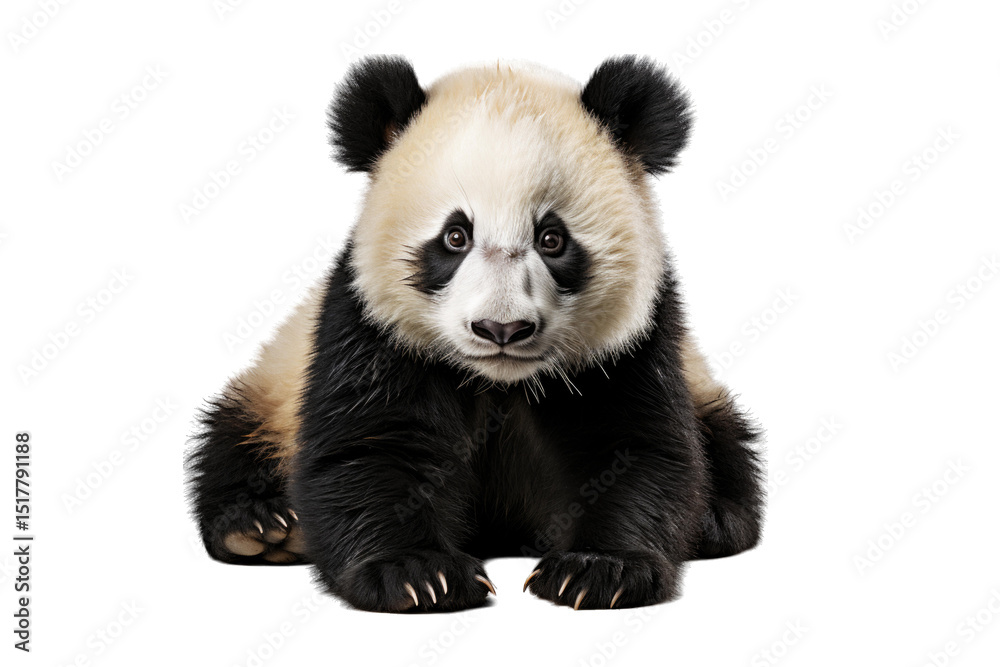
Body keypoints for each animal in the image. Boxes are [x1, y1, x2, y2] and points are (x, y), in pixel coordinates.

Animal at [186, 55, 764, 613]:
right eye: (455, 237)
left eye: (552, 239)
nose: (501, 328)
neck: (499, 381)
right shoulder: (367, 329)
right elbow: (370, 447)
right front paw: (417, 574)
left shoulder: (636, 341)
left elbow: (637, 447)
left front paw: (598, 571)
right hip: (275, 382)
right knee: (232, 436)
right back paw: (260, 527)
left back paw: (713, 520)